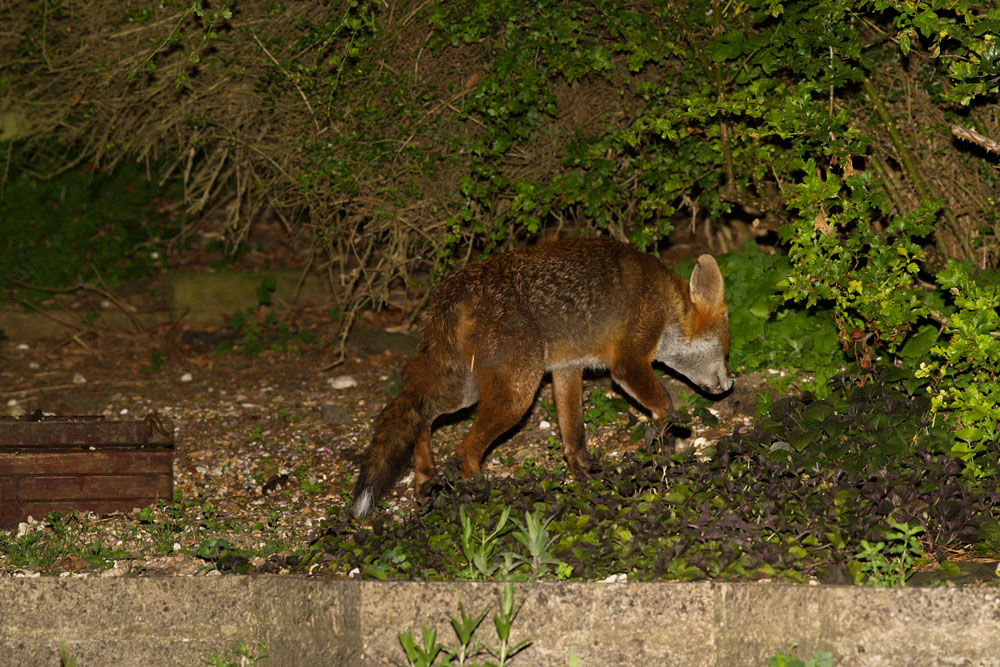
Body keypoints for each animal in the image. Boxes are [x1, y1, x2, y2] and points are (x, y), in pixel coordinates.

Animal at [350, 237, 733, 518]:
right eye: (725, 349)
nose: (729, 384)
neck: (664, 303)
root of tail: (450, 292)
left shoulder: (567, 369)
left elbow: (574, 435)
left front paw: (584, 478)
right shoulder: (628, 363)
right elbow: (663, 404)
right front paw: (667, 441)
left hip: (466, 389)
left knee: (421, 415)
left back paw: (425, 479)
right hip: (517, 394)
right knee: (463, 450)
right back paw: (485, 496)